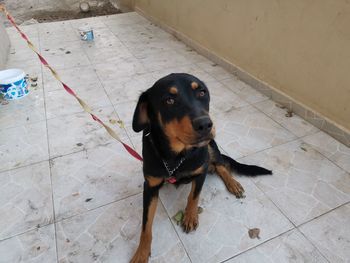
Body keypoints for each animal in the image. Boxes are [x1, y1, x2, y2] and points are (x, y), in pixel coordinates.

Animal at [131, 73, 270, 262]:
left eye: (202, 92)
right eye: (169, 100)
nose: (205, 124)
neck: (177, 157)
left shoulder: (201, 172)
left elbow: (193, 196)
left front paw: (190, 216)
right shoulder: (150, 186)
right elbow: (146, 225)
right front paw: (141, 252)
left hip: (210, 146)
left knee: (220, 165)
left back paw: (233, 183)